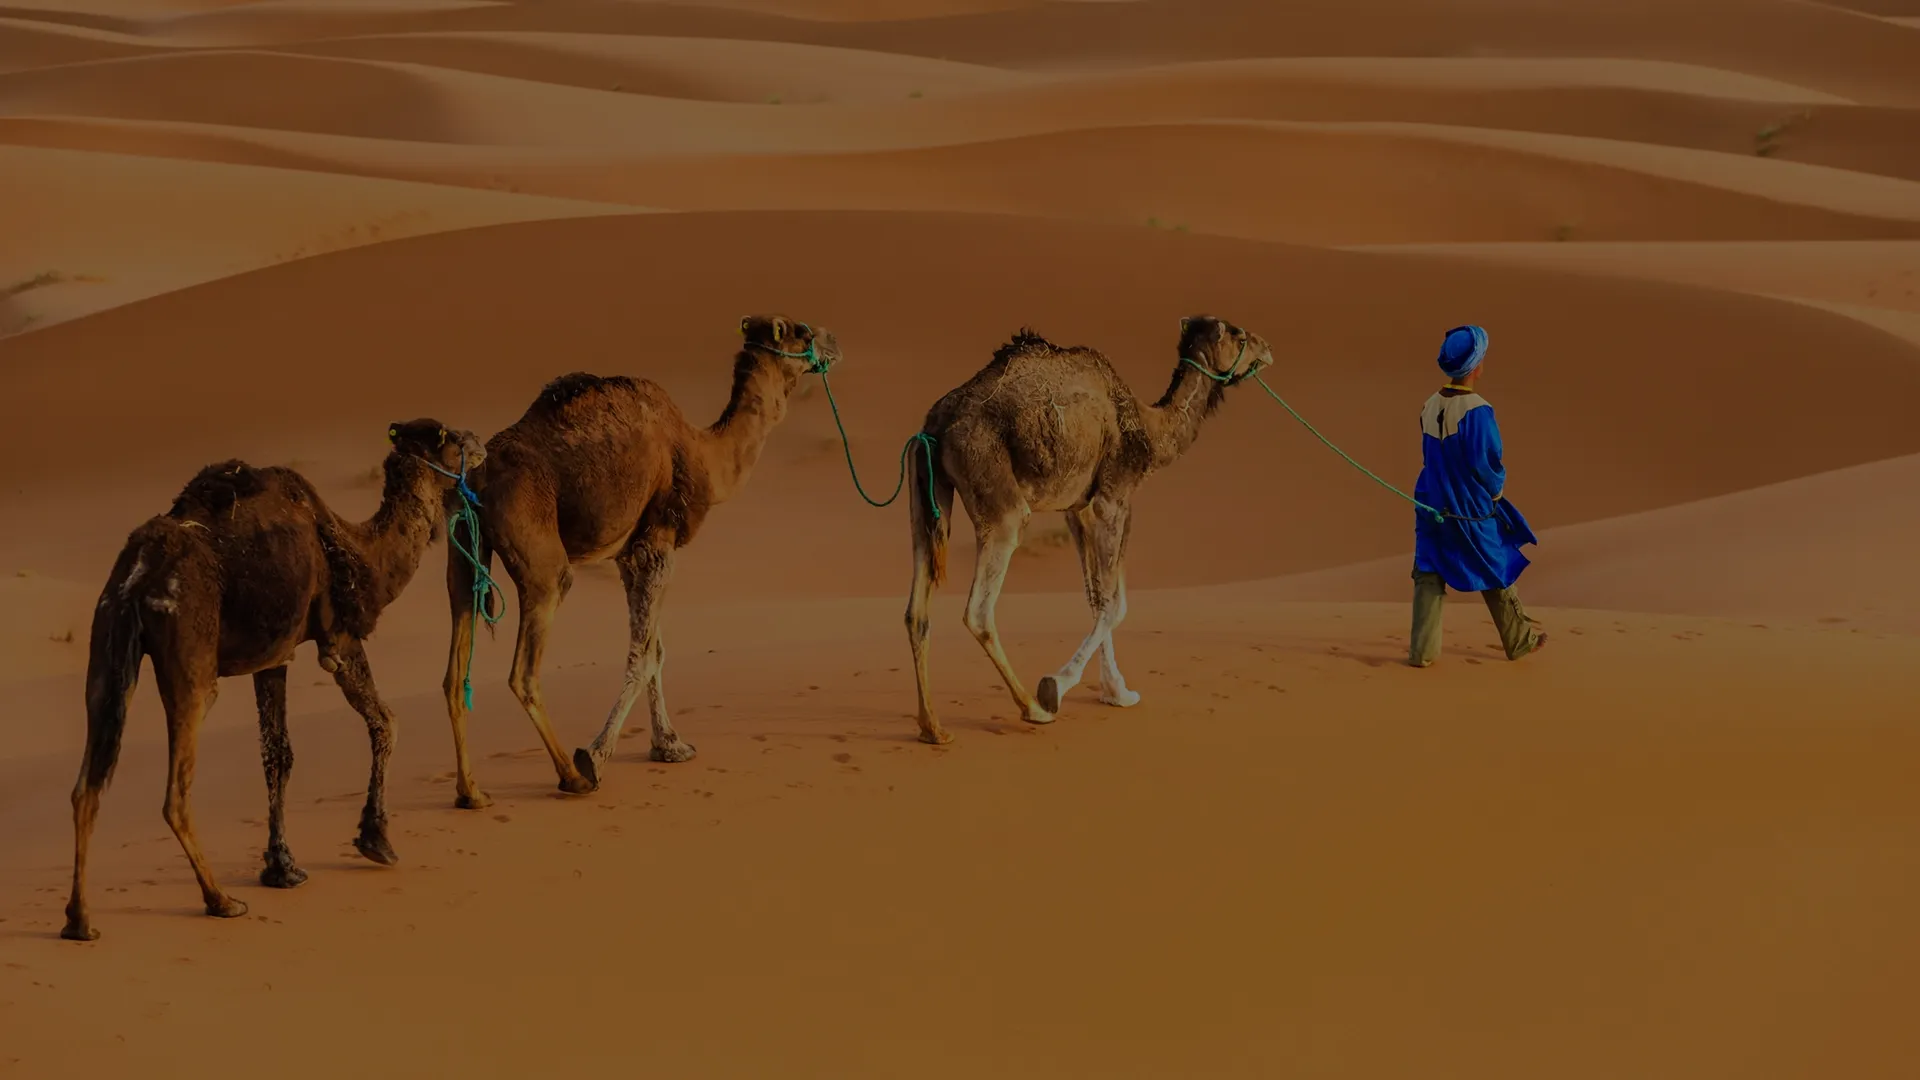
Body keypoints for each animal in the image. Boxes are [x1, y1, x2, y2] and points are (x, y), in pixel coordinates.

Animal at [62, 419, 485, 941]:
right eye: (451, 437)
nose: (481, 443)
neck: (359, 551)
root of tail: (138, 575)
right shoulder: (338, 638)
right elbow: (385, 720)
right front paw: (376, 840)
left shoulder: (273, 657)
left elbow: (277, 755)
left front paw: (281, 867)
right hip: (190, 654)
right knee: (175, 791)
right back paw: (221, 900)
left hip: (105, 644)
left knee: (87, 784)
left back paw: (80, 921)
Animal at [440, 314, 839, 805]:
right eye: (803, 331)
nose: (833, 342)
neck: (705, 453)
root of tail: (473, 479)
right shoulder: (658, 541)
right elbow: (643, 656)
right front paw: (596, 756)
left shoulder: (630, 554)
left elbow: (656, 650)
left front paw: (670, 746)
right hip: (542, 563)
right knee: (525, 672)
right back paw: (573, 777)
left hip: (462, 552)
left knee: (454, 670)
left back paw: (471, 793)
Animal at [903, 315, 1273, 744]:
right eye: (1240, 335)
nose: (1267, 349)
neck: (1149, 432)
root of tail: (935, 426)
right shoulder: (1114, 497)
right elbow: (1116, 603)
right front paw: (1058, 686)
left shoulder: (1077, 508)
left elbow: (1098, 599)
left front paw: (1116, 692)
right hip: (1000, 501)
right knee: (979, 610)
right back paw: (1032, 708)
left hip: (925, 496)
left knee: (917, 611)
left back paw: (932, 727)